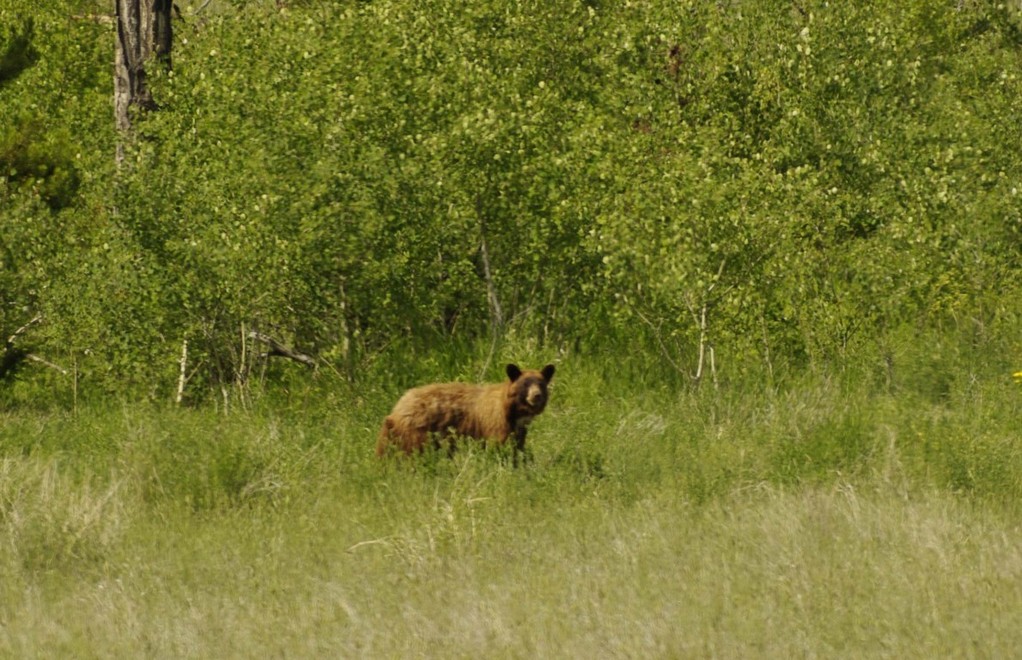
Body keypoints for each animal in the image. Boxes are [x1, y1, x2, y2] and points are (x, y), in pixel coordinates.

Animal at [376, 363, 556, 463]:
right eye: (525, 384)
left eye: (541, 383)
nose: (536, 396)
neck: (511, 410)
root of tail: (396, 410)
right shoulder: (495, 423)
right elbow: (498, 447)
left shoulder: (519, 429)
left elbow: (517, 448)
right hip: (416, 432)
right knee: (412, 453)